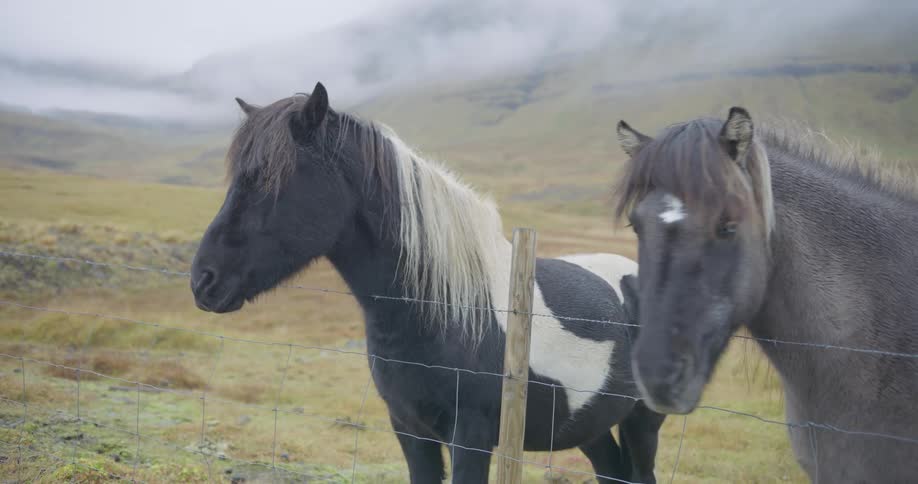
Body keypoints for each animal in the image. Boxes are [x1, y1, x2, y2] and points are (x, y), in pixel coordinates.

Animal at [189, 82, 666, 483]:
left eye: (270, 178)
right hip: (591, 427)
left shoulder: (471, 437)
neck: (443, 309)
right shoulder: (410, 431)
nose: (203, 280)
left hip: (642, 421)